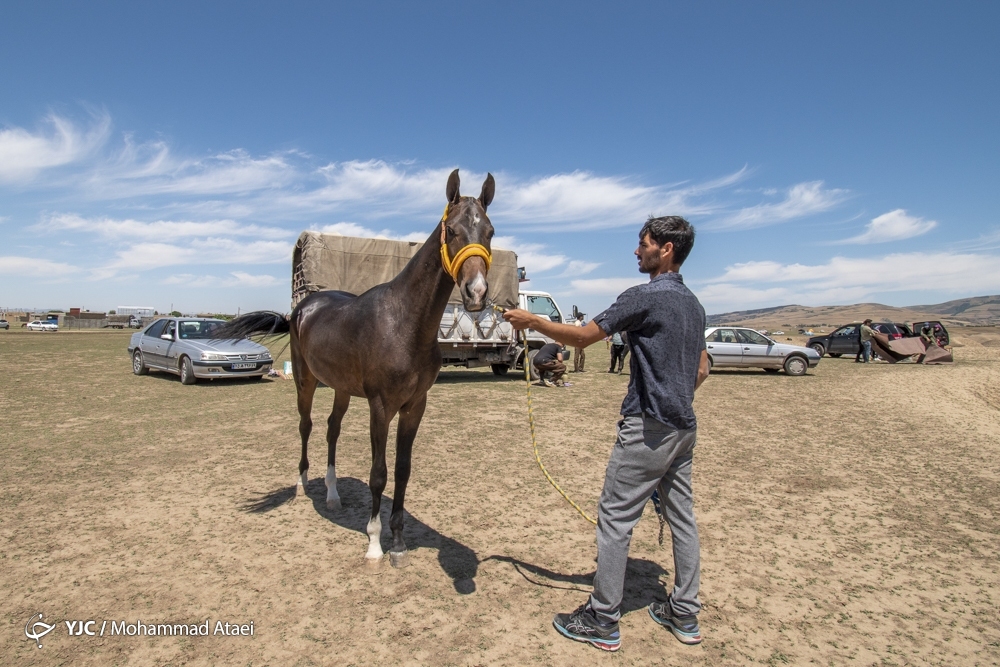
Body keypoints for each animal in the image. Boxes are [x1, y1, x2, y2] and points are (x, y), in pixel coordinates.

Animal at [220, 170, 500, 568]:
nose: (476, 293)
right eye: (452, 229)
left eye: (489, 231)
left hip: (340, 389)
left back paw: (333, 494)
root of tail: (301, 309)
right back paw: (302, 484)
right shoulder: (380, 406)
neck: (404, 323)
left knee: (331, 429)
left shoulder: (415, 406)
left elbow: (402, 471)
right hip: (306, 382)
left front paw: (398, 541)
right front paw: (375, 543)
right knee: (306, 426)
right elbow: (379, 474)